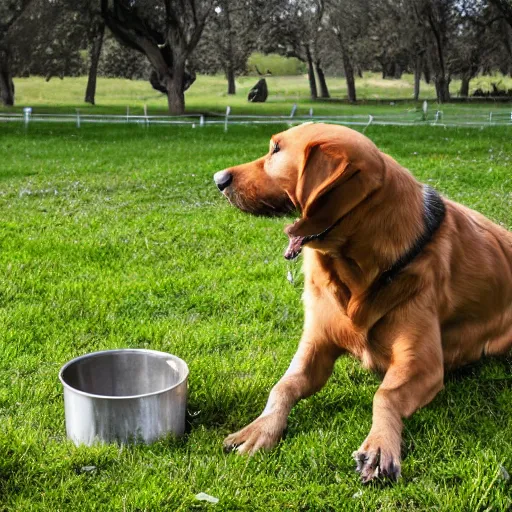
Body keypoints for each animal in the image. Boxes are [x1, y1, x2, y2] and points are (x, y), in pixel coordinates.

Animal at [212, 124, 512, 484]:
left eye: (276, 150)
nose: (218, 178)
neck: (354, 272)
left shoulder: (423, 366)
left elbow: (385, 394)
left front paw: (380, 444)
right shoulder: (316, 345)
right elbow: (284, 386)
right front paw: (261, 428)